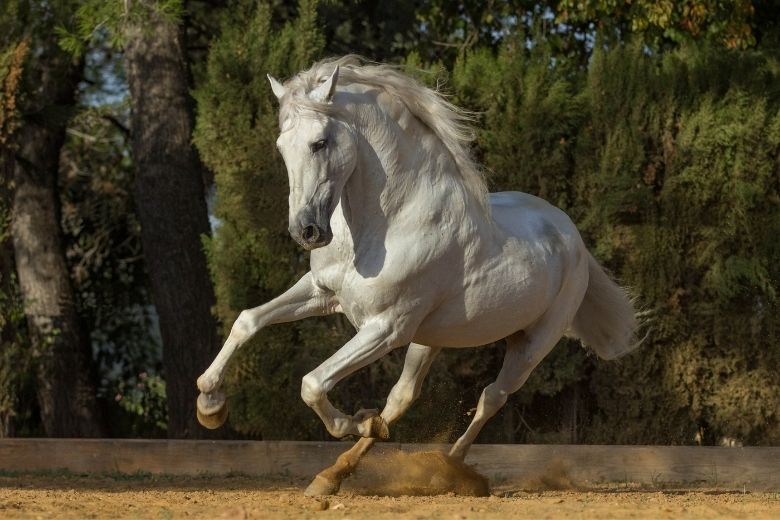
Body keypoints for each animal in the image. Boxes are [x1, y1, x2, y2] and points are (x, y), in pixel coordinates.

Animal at [197, 57, 640, 496]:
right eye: (281, 146)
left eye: (319, 143)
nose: (305, 231)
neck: (388, 223)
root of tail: (570, 235)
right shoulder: (322, 293)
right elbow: (248, 320)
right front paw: (210, 404)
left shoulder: (386, 328)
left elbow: (312, 383)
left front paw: (353, 419)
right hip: (430, 338)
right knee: (403, 397)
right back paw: (334, 473)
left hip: (532, 344)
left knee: (491, 397)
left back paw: (450, 466)